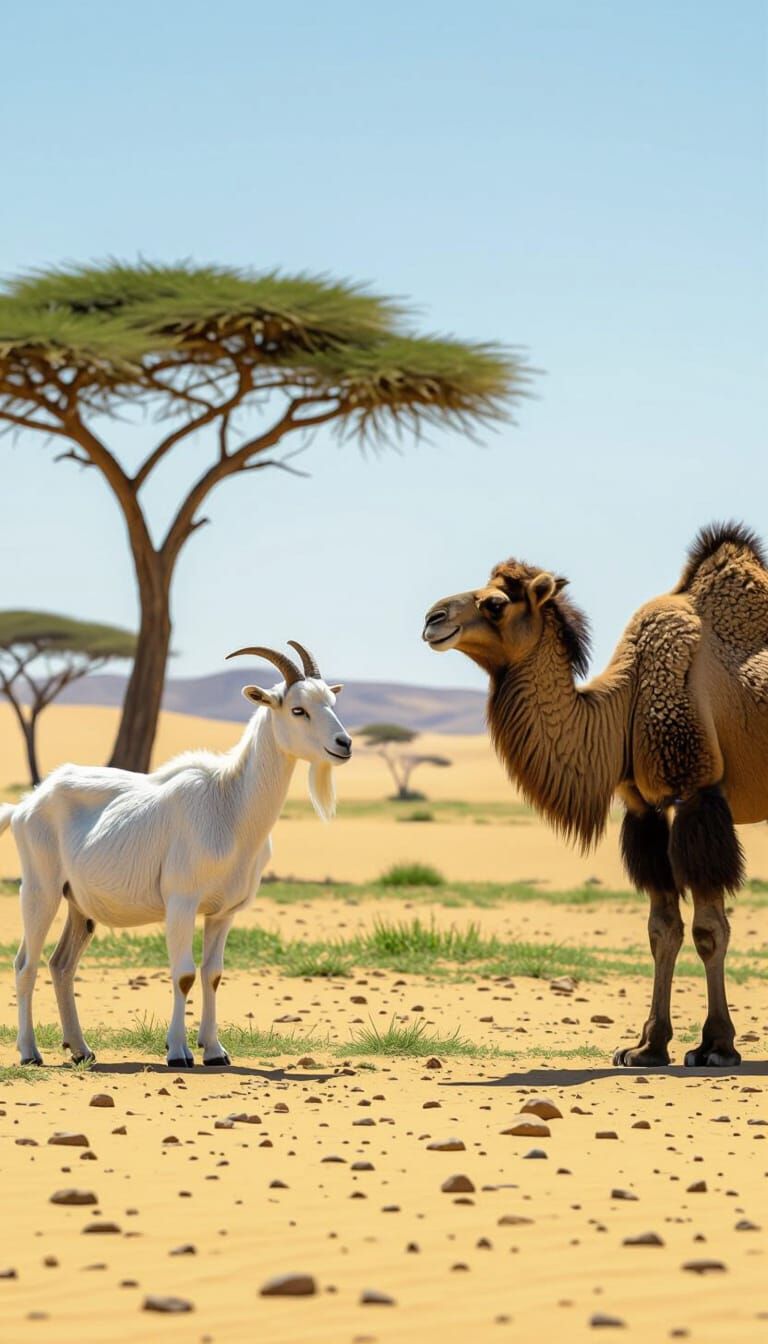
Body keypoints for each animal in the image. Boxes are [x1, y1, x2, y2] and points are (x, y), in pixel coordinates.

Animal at [0, 641, 351, 1068]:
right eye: (298, 709)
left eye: (331, 701)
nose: (344, 744)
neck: (230, 803)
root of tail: (24, 806)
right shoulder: (181, 904)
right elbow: (183, 973)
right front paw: (178, 1052)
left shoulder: (223, 913)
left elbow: (212, 974)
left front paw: (215, 1051)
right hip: (40, 892)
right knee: (25, 965)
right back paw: (29, 1052)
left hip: (78, 906)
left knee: (61, 965)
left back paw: (81, 1049)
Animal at [423, 522, 768, 1068]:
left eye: (495, 602)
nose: (432, 619)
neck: (620, 709)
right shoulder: (643, 809)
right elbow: (662, 930)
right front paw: (647, 1046)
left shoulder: (696, 792)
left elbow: (709, 930)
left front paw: (716, 1045)